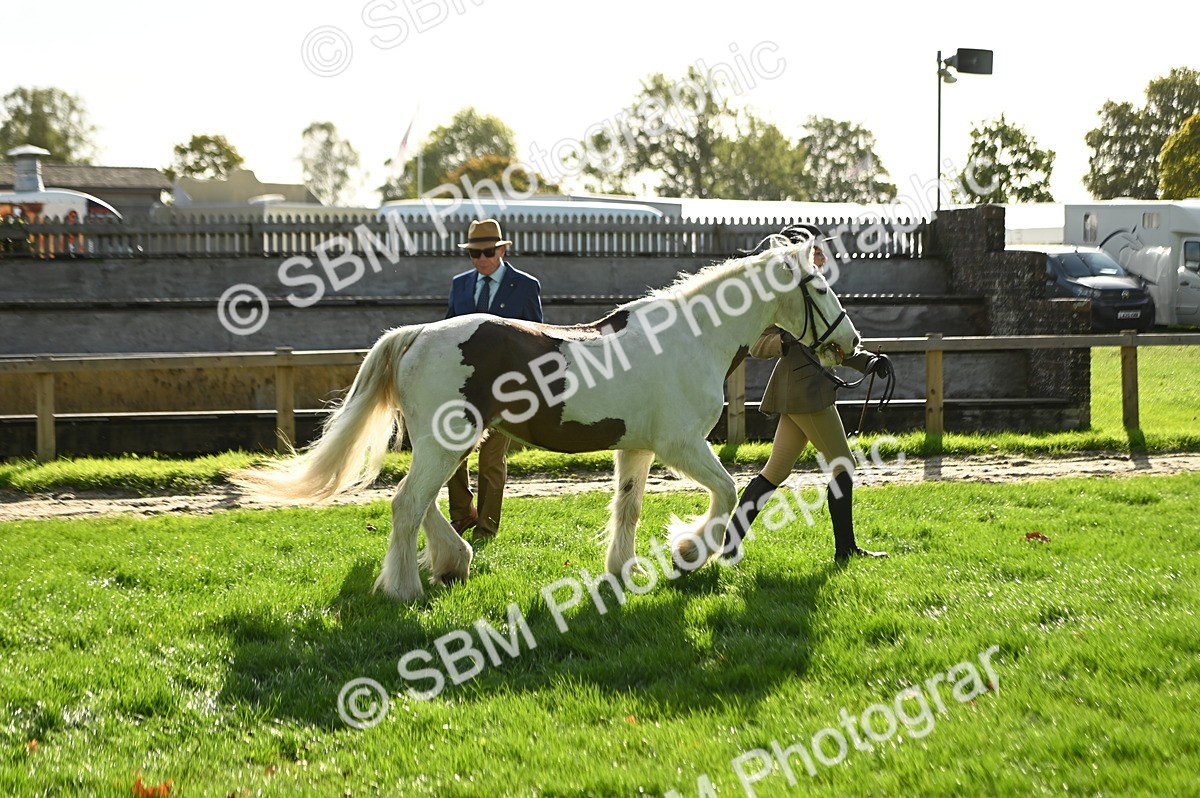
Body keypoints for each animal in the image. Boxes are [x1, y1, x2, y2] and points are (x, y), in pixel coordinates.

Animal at [232, 234, 862, 602]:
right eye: (818, 287)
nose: (851, 343)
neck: (693, 338)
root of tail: (415, 335)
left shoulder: (637, 448)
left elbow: (628, 509)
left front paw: (622, 572)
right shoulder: (682, 446)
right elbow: (729, 491)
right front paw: (689, 552)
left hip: (447, 444)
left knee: (422, 503)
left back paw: (453, 563)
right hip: (445, 443)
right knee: (408, 505)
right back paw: (406, 588)